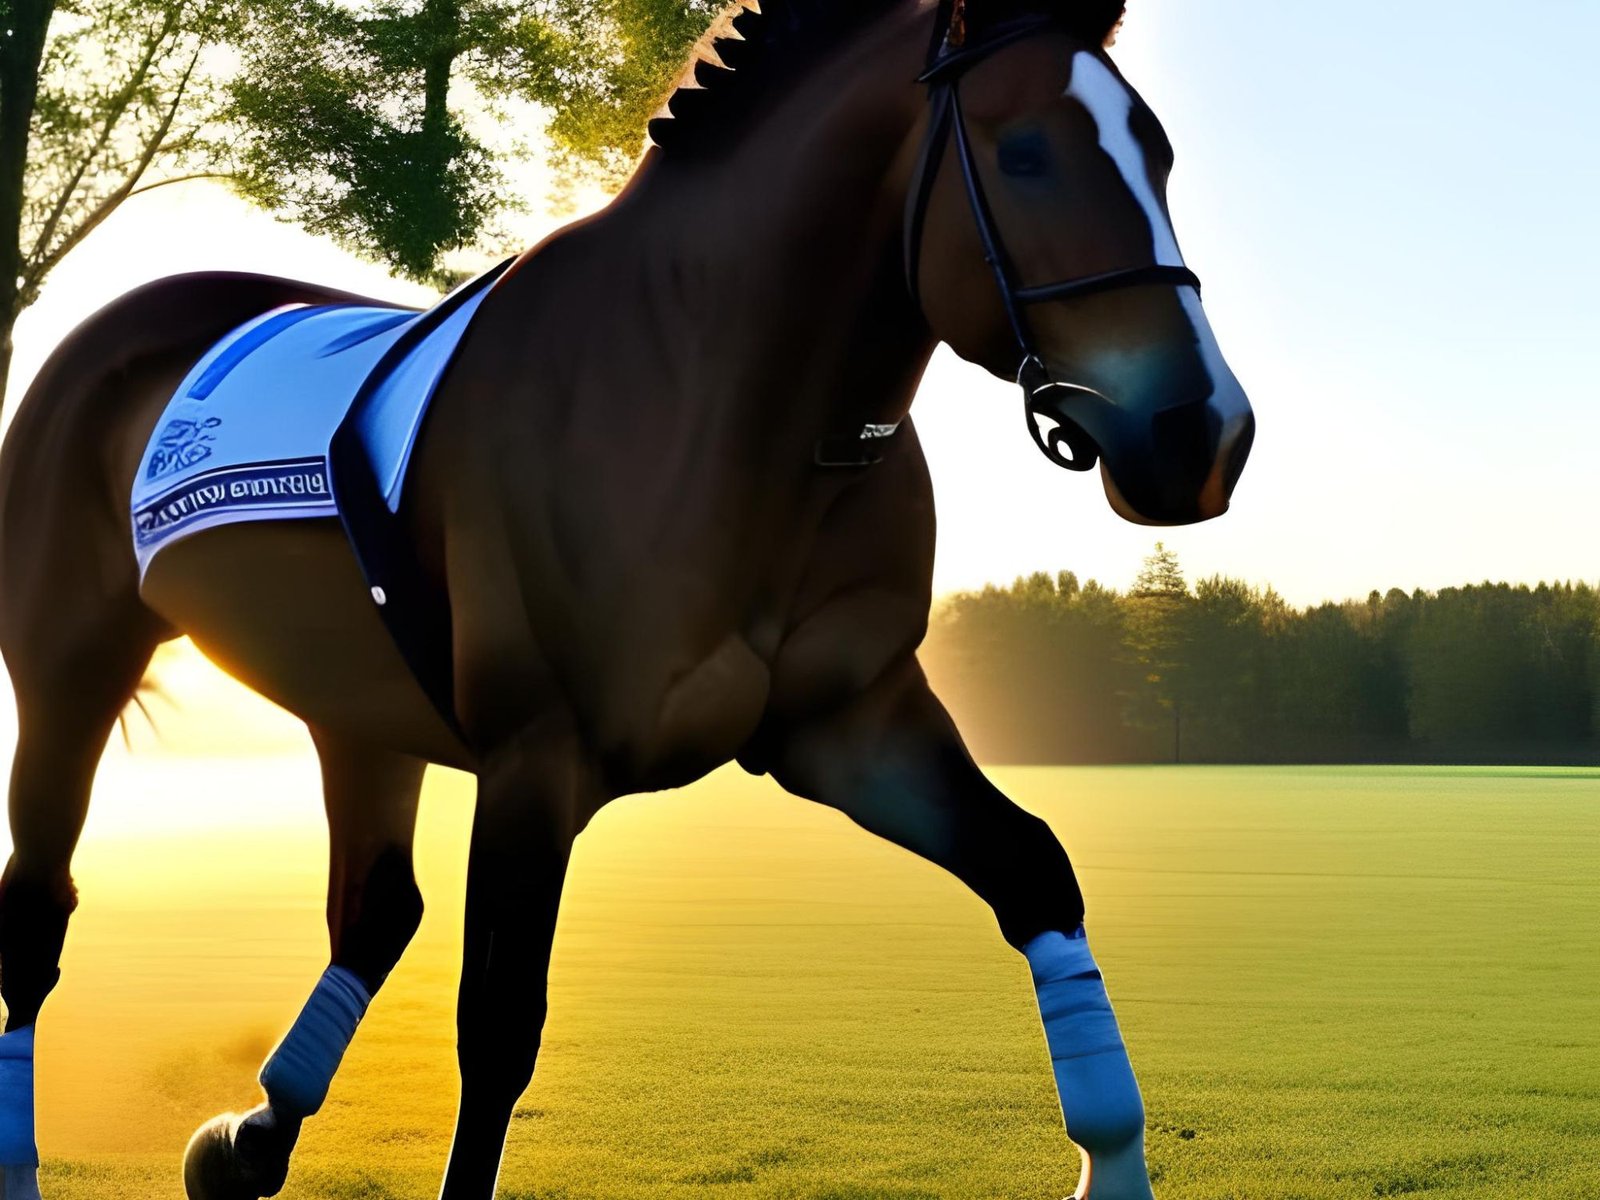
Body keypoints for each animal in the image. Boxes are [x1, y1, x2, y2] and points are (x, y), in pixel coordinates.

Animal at [0, 0, 1254, 1196]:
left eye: (1157, 152)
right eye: (1027, 152)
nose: (1199, 433)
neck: (712, 400)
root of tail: (105, 332)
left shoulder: (850, 724)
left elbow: (1034, 870)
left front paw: (1115, 1163)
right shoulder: (535, 760)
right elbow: (497, 1028)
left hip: (353, 703)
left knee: (371, 907)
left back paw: (255, 1139)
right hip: (71, 674)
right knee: (39, 910)